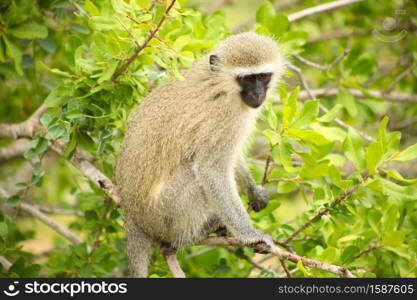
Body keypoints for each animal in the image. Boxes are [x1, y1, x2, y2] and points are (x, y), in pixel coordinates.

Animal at [116, 31, 286, 278]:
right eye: (246, 79)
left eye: (262, 76)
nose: (257, 93)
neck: (220, 84)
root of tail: (133, 218)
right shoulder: (224, 117)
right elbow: (211, 170)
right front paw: (250, 235)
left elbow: (230, 161)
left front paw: (253, 191)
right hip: (164, 214)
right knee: (196, 177)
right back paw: (197, 231)